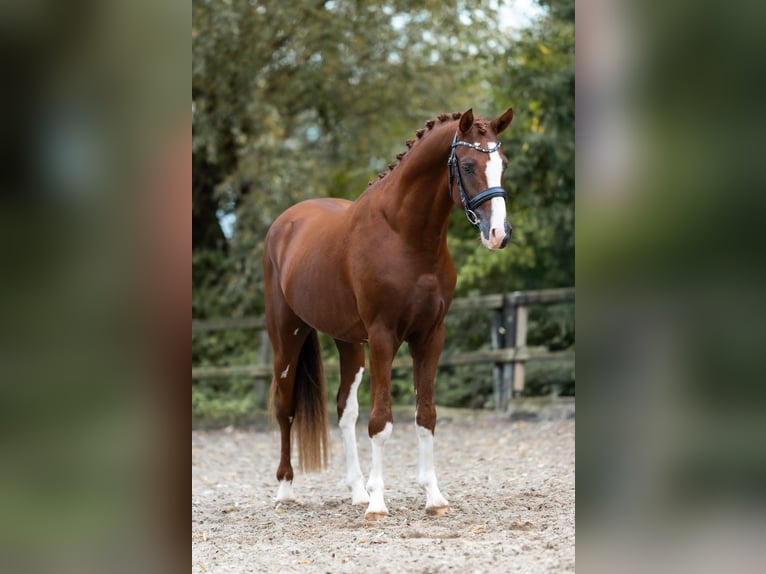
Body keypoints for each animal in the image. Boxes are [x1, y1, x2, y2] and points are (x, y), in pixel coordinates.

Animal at [263, 107, 514, 519]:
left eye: (502, 164)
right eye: (467, 164)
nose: (498, 234)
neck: (404, 237)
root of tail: (285, 223)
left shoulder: (430, 336)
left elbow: (425, 415)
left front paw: (433, 497)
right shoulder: (383, 336)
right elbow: (381, 421)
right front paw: (379, 503)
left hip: (348, 342)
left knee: (344, 409)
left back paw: (356, 491)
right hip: (287, 336)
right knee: (285, 408)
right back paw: (285, 490)